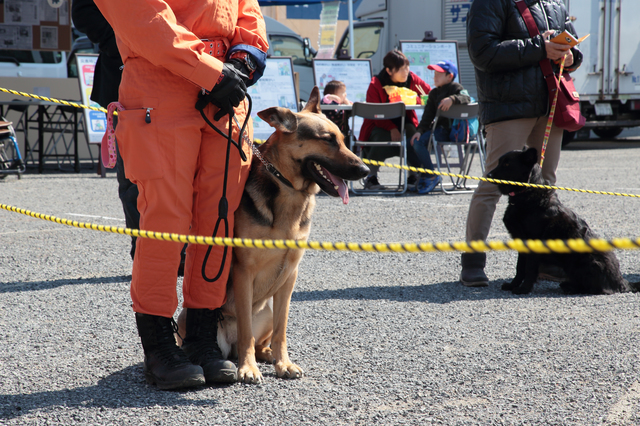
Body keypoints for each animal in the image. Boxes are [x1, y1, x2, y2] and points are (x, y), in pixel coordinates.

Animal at [180, 86, 370, 382]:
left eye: (341, 138)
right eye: (328, 140)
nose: (366, 170)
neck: (290, 190)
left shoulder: (289, 277)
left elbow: (282, 330)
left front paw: (284, 363)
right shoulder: (243, 272)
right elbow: (246, 330)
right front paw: (247, 368)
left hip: (267, 310)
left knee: (261, 341)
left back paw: (267, 354)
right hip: (189, 317)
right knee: (236, 339)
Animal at [488, 146, 636, 296]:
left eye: (507, 164)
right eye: (499, 162)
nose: (488, 175)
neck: (527, 194)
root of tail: (622, 282)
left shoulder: (533, 244)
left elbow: (529, 269)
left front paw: (524, 289)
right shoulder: (521, 242)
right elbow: (519, 268)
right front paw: (513, 285)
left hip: (588, 261)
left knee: (597, 289)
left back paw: (572, 288)